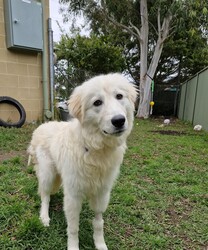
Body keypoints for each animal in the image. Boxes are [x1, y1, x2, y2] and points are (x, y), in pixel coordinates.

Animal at [28, 73, 138, 249]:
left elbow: (98, 222)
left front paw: (100, 244)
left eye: (119, 96)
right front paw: (73, 246)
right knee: (44, 196)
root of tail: (42, 126)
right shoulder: (73, 197)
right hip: (47, 174)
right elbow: (73, 228)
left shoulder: (102, 193)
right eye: (97, 102)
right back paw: (44, 217)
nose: (119, 120)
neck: (95, 149)